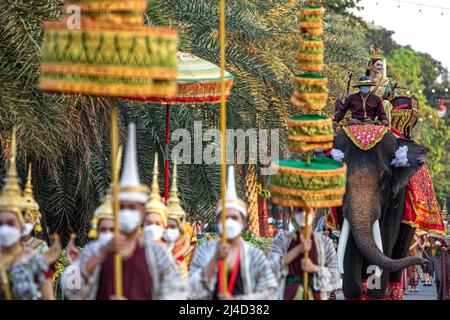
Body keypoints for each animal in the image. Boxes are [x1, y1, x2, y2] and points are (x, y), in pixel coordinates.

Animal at [332, 129, 428, 298]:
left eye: (384, 177)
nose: (425, 262)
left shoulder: (397, 194)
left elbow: (387, 234)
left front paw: (376, 290)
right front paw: (356, 291)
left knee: (400, 248)